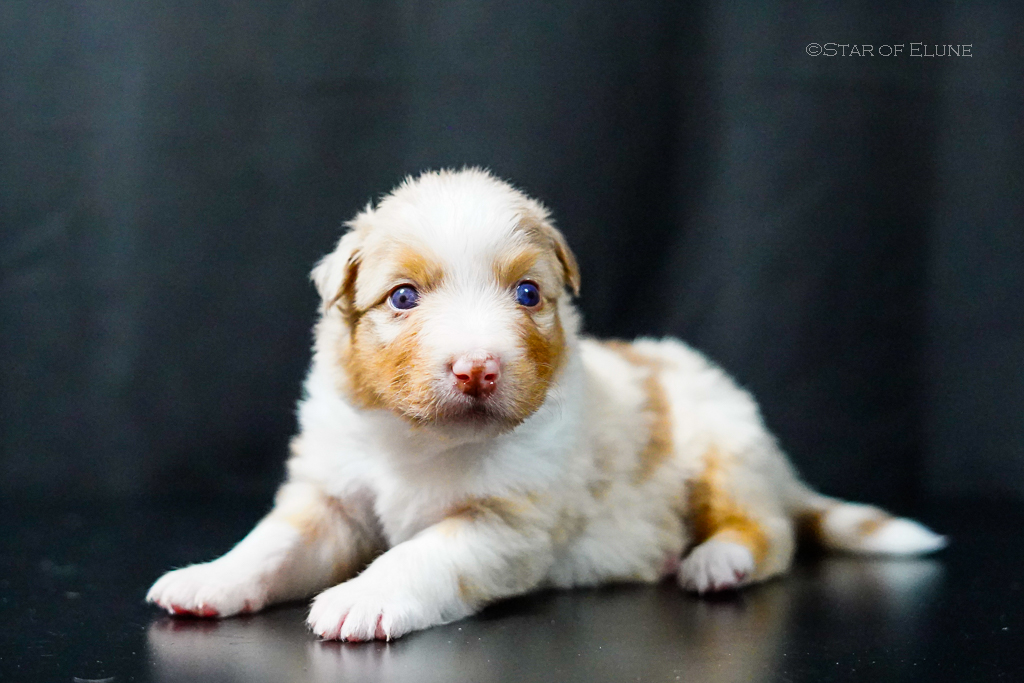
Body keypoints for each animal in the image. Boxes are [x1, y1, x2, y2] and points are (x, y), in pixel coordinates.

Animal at [147, 168, 945, 641]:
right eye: (402, 297)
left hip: (726, 448)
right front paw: (210, 576)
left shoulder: (508, 522)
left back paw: (716, 559)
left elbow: (424, 552)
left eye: (529, 293)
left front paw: (364, 596)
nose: (476, 368)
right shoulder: (332, 492)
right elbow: (272, 544)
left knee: (771, 532)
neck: (424, 441)